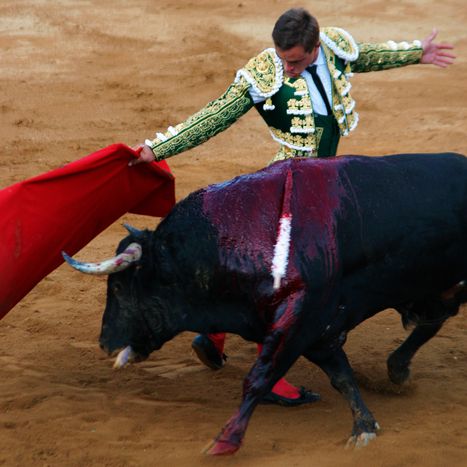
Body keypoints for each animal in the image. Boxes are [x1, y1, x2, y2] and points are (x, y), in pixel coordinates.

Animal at [64, 154, 466, 458]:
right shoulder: (315, 329)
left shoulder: (300, 320)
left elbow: (259, 378)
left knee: (435, 319)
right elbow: (341, 376)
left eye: (119, 287)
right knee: (433, 319)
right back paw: (397, 369)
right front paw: (364, 425)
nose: (104, 343)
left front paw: (224, 441)